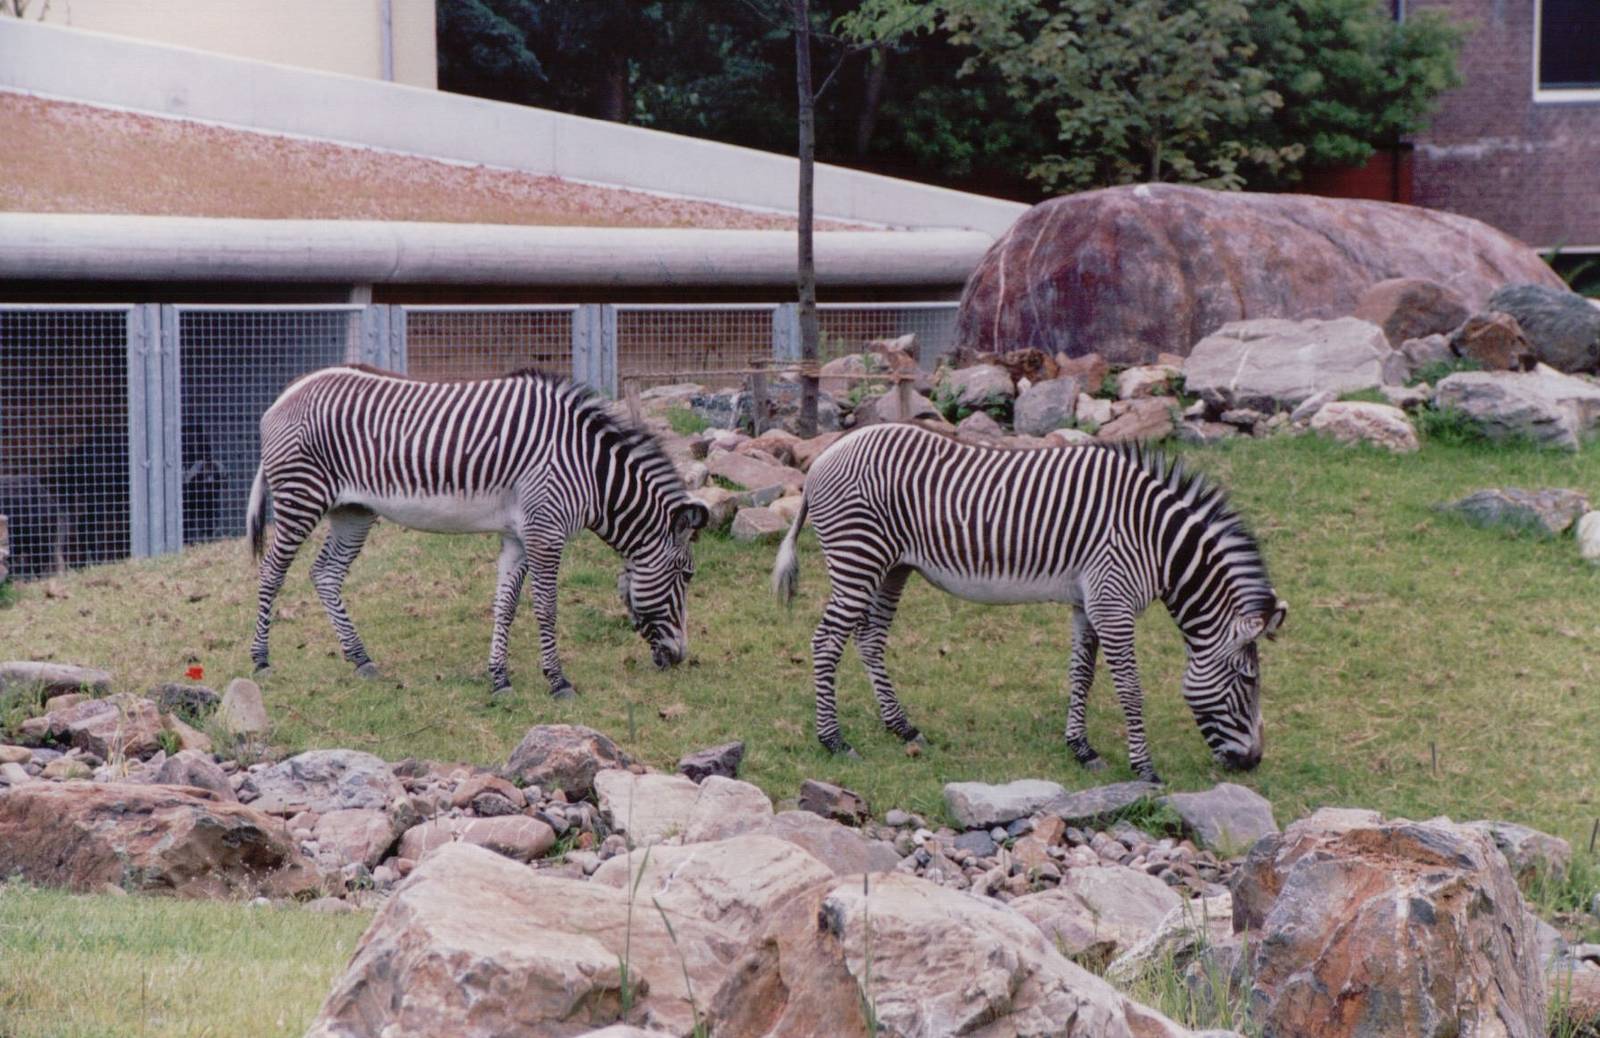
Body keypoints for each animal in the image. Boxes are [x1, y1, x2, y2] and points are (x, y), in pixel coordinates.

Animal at [246, 364, 708, 697]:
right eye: (686, 576)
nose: (680, 657)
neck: (590, 470)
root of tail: (285, 394)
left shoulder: (519, 534)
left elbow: (506, 605)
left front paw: (499, 679)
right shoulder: (545, 531)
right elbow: (546, 607)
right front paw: (557, 681)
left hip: (353, 510)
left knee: (325, 574)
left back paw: (361, 658)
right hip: (301, 497)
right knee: (271, 572)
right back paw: (261, 660)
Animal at [771, 422, 1286, 783]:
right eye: (1248, 679)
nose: (1255, 763)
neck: (1156, 541)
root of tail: (824, 457)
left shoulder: (1088, 602)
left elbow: (1082, 675)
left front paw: (1081, 749)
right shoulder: (1113, 602)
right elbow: (1130, 688)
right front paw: (1144, 768)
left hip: (892, 566)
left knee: (870, 639)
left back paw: (902, 727)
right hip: (859, 558)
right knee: (826, 642)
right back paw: (833, 740)